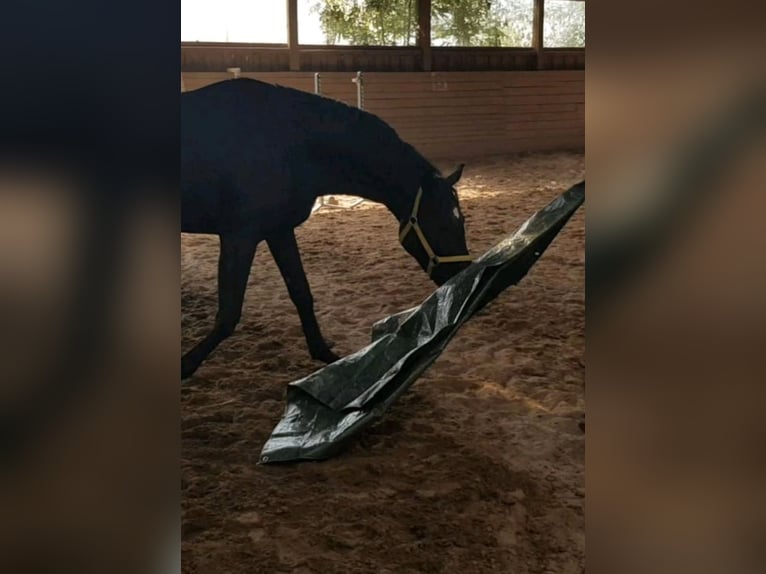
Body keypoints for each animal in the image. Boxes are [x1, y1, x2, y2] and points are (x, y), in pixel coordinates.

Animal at [181, 78, 472, 379]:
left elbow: (301, 293)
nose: (464, 275)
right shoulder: (240, 236)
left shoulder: (279, 230)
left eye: (461, 220)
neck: (285, 143)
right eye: (443, 223)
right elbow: (229, 313)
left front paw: (326, 355)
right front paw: (185, 366)